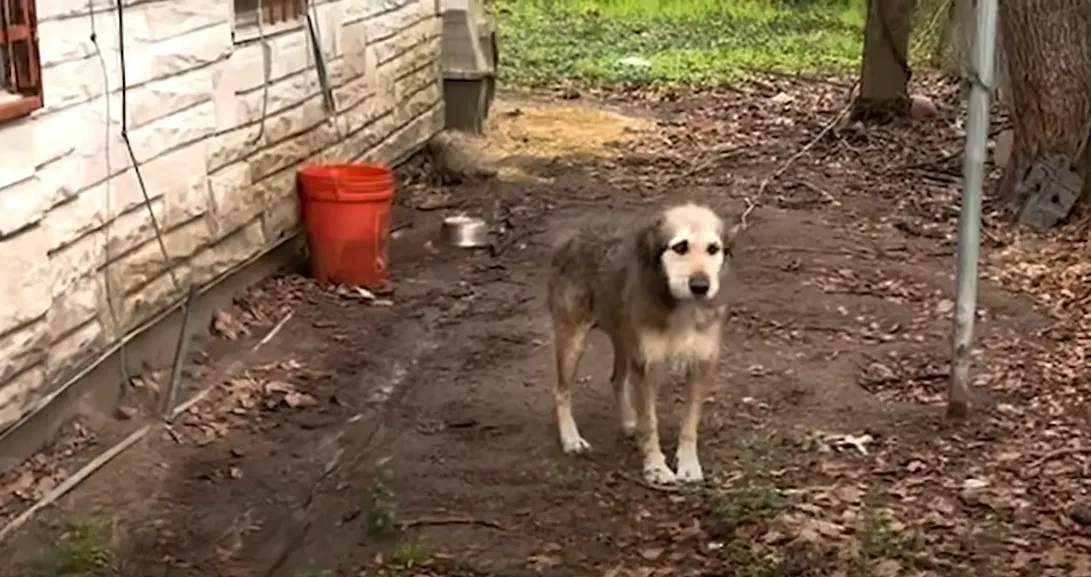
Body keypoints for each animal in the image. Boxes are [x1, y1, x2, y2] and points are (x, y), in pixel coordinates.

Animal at [549, 202, 737, 486]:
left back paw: (629, 422)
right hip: (573, 340)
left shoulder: (701, 366)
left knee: (617, 379)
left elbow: (689, 425)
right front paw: (656, 468)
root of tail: (574, 232)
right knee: (561, 391)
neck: (681, 307)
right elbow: (650, 424)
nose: (701, 286)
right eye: (680, 247)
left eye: (713, 249)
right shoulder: (647, 367)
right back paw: (571, 439)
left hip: (624, 342)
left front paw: (688, 465)